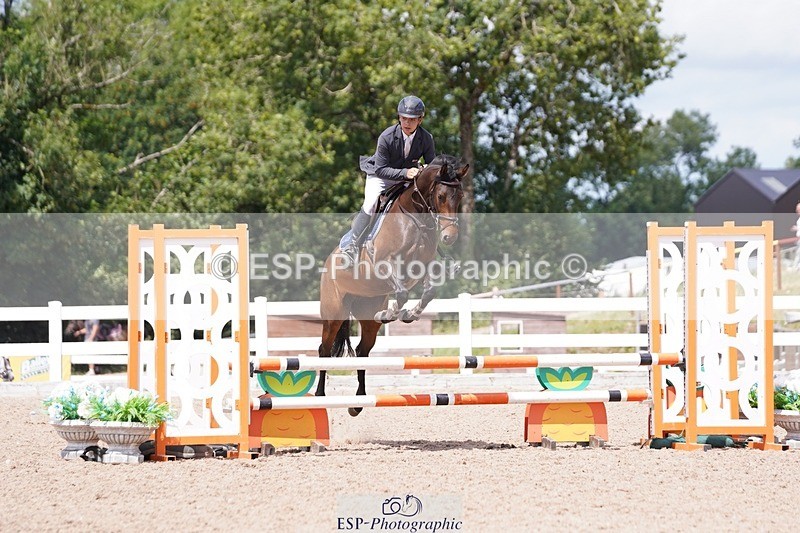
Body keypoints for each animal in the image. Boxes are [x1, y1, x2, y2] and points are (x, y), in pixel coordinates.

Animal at [315, 154, 468, 415]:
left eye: (460, 197)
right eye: (440, 196)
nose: (449, 237)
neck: (415, 220)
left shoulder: (422, 267)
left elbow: (428, 291)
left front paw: (408, 314)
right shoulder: (384, 264)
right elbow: (403, 292)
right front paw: (393, 313)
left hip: (366, 313)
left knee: (362, 351)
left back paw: (358, 403)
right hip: (334, 313)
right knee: (324, 351)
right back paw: (319, 397)